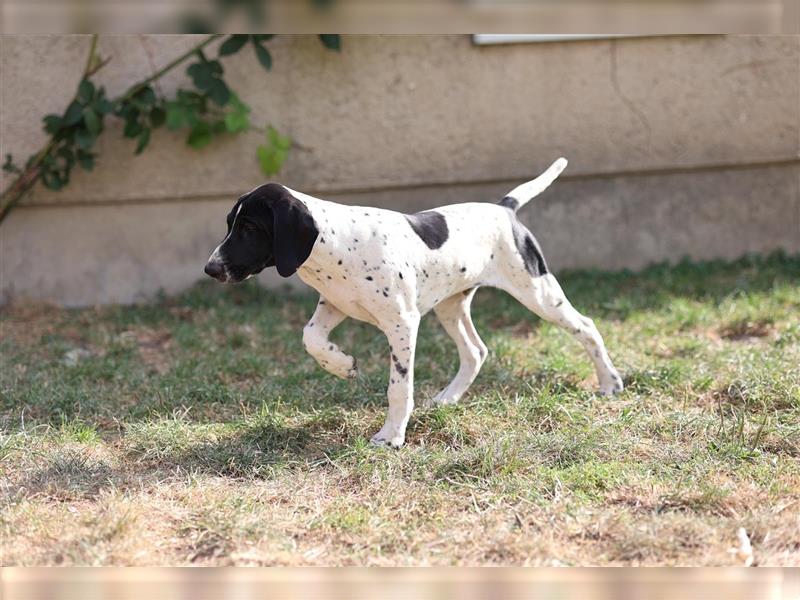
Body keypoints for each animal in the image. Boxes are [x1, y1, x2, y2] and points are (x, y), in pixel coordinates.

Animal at [203, 157, 620, 448]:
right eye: (229, 224)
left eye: (250, 228)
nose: (210, 268)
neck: (338, 242)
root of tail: (504, 208)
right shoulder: (334, 305)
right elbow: (311, 339)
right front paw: (342, 365)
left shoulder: (402, 323)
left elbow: (398, 387)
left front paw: (391, 436)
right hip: (451, 306)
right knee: (476, 351)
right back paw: (448, 399)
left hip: (537, 291)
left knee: (587, 327)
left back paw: (610, 382)